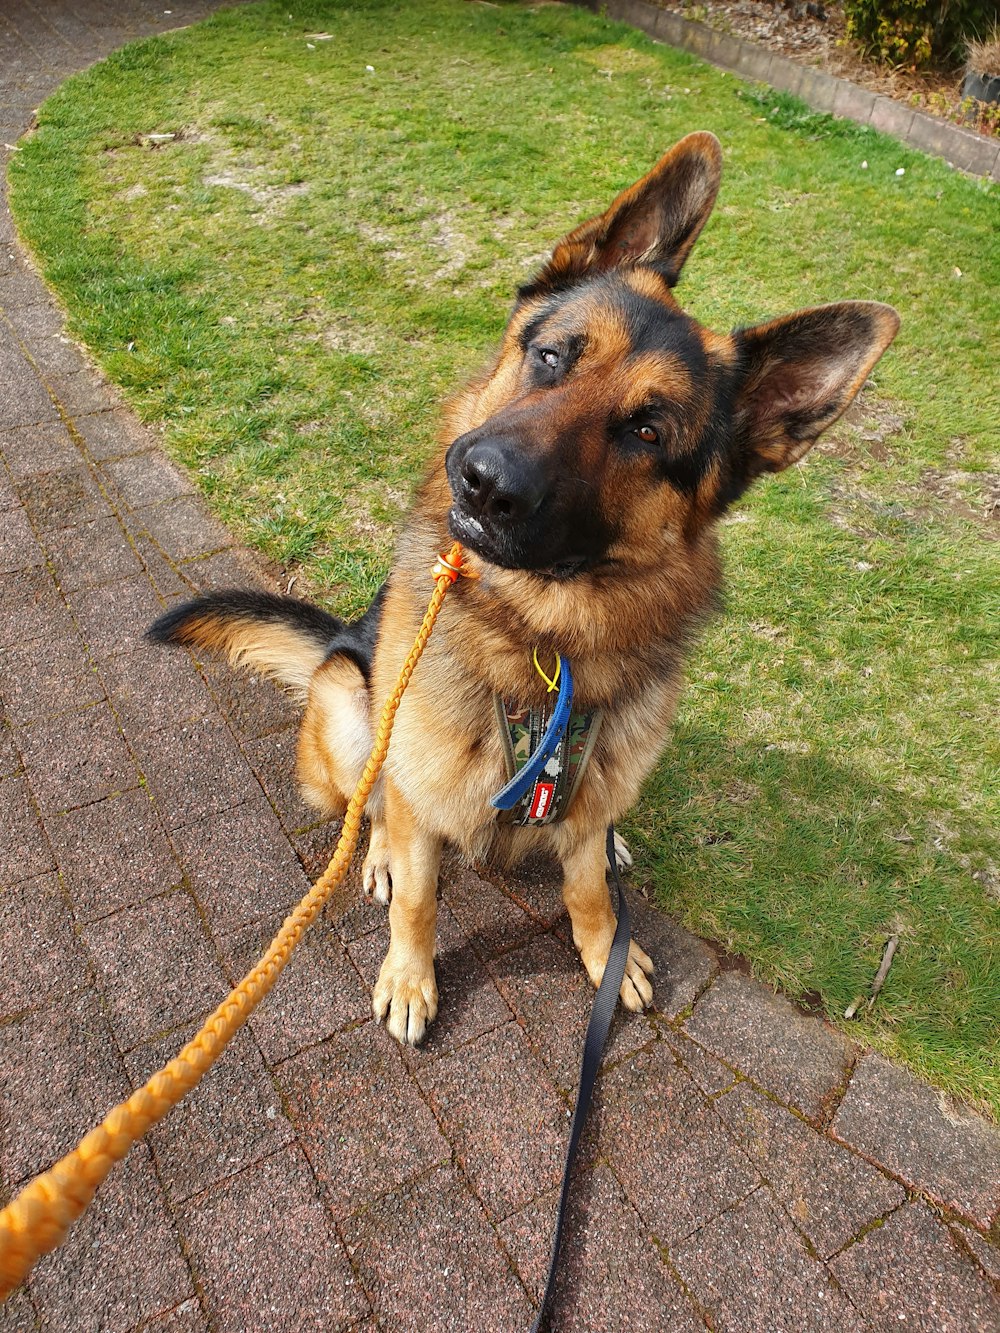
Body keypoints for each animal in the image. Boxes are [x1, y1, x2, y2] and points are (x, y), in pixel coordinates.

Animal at [152, 137, 906, 1050]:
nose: (483, 482)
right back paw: (376, 849)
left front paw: (605, 946)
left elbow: (585, 889)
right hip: (350, 702)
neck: (546, 650)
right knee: (373, 803)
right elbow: (417, 894)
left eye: (647, 430)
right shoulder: (422, 793)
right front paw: (410, 975)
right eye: (552, 355)